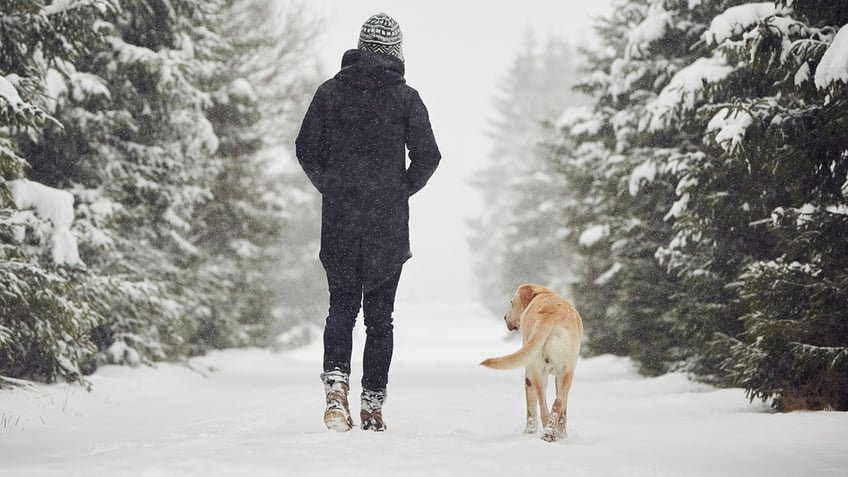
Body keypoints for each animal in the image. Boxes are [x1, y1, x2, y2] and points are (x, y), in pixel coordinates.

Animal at [484, 282, 584, 442]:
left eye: (511, 302)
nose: (504, 317)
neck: (542, 294)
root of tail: (550, 314)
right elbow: (564, 410)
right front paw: (563, 435)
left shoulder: (528, 375)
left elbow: (530, 409)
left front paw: (528, 432)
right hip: (566, 372)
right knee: (558, 404)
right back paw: (551, 434)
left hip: (536, 372)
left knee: (543, 408)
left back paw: (546, 434)